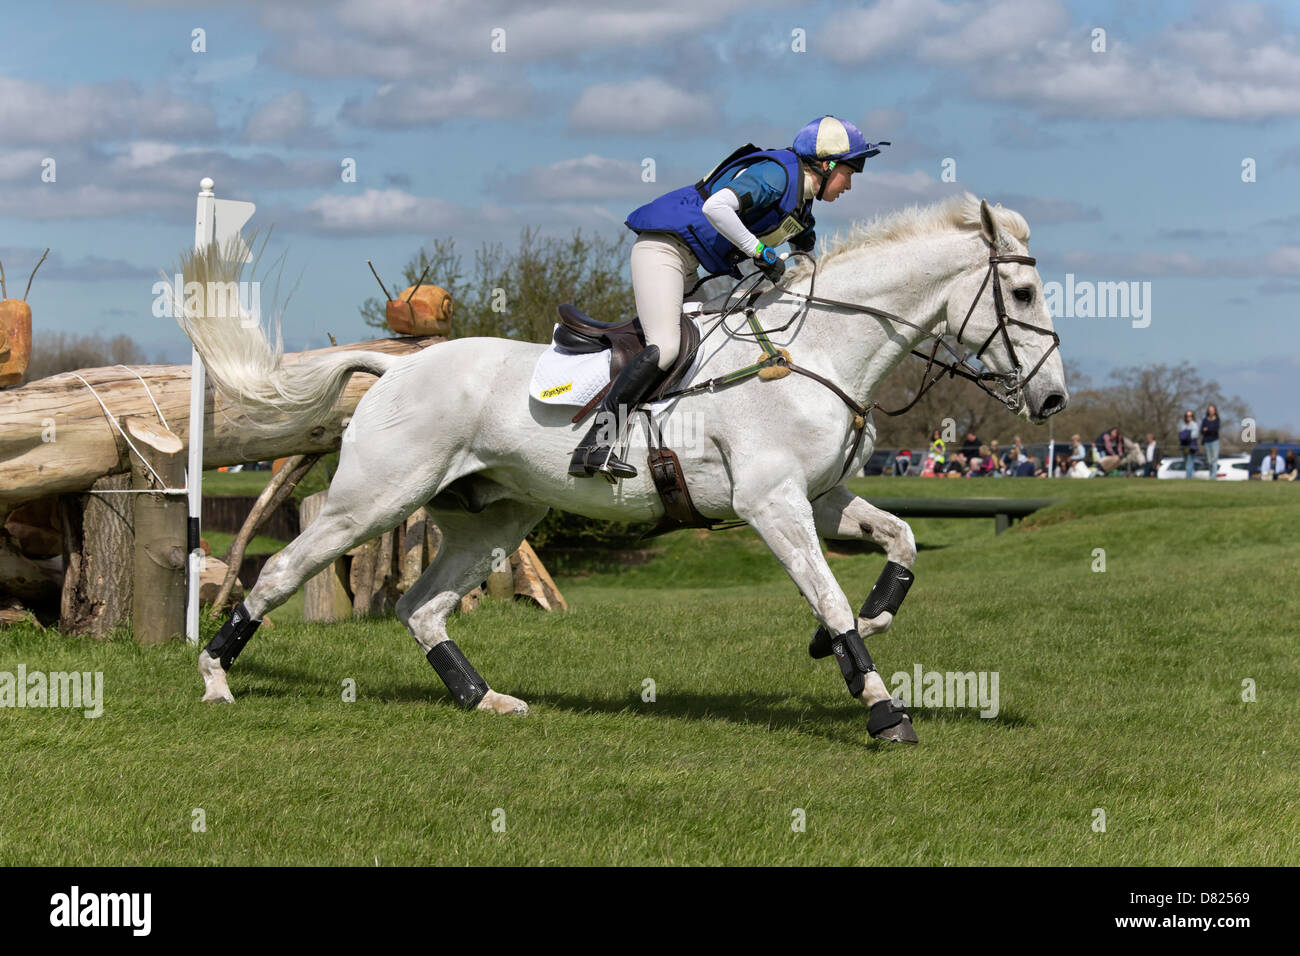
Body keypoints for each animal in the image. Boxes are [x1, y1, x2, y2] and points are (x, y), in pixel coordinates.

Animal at [180, 196, 1066, 749]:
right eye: (1021, 290)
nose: (1053, 398)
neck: (812, 352)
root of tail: (395, 366)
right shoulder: (772, 503)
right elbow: (831, 594)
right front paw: (882, 709)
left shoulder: (819, 497)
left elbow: (900, 543)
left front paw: (858, 631)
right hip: (373, 499)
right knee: (281, 574)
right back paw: (215, 678)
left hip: (497, 516)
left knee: (421, 608)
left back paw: (484, 698)